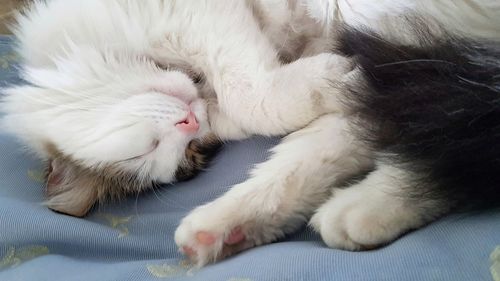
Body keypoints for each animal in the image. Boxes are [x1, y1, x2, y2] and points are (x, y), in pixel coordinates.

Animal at [0, 0, 352, 215]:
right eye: (192, 151)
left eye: (143, 150)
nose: (191, 123)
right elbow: (246, 112)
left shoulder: (199, 19)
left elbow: (244, 95)